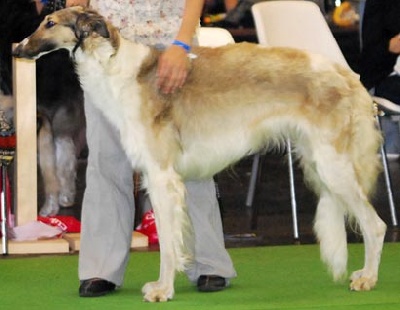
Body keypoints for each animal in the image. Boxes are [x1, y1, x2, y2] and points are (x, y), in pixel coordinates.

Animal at [13, 6, 388, 302]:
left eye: (49, 23)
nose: (16, 47)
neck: (117, 67)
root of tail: (348, 76)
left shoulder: (162, 176)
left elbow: (167, 244)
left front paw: (162, 290)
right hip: (319, 162)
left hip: (333, 166)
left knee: (377, 225)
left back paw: (368, 278)